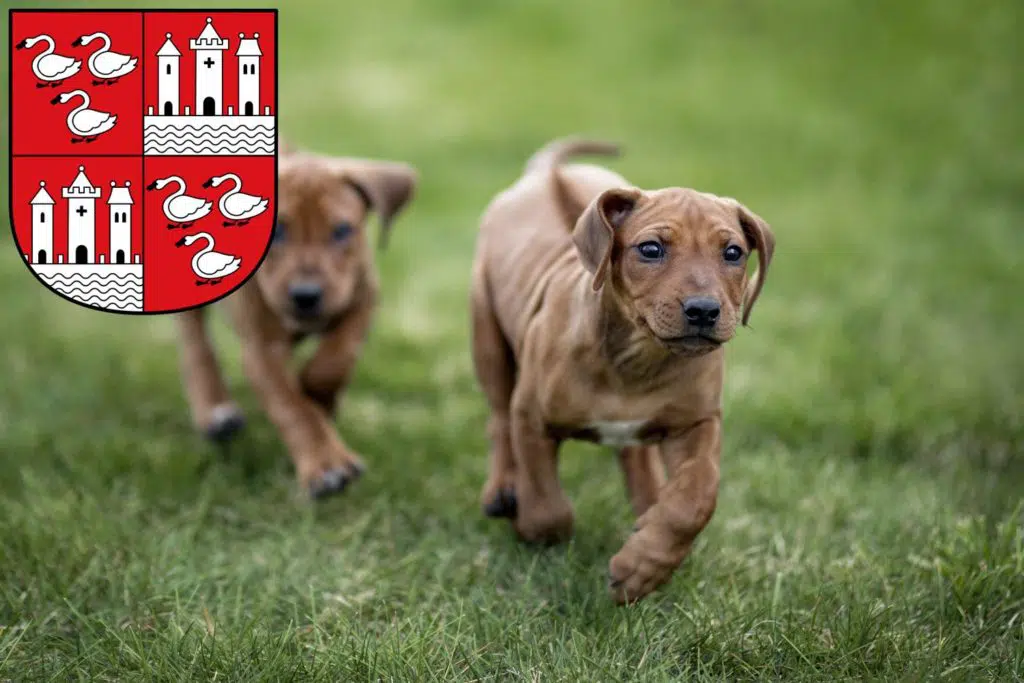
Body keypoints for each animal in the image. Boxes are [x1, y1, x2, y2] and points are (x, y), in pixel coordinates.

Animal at [175, 145, 415, 497]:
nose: (306, 295)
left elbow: (338, 357)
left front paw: (319, 394)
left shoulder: (363, 298)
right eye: (276, 232)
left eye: (342, 230)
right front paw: (326, 464)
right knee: (194, 339)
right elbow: (293, 408)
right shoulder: (262, 349)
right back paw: (214, 409)